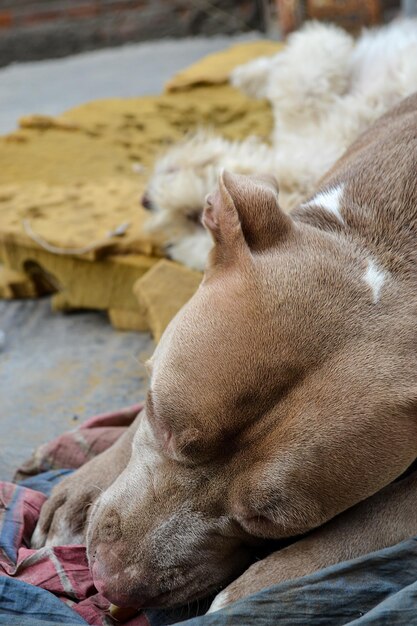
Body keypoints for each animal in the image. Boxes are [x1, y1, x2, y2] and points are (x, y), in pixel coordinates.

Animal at [30, 95, 416, 612]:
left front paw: (254, 591)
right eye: (158, 416)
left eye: (269, 523)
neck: (389, 243)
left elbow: (368, 526)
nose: (111, 582)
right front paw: (83, 487)